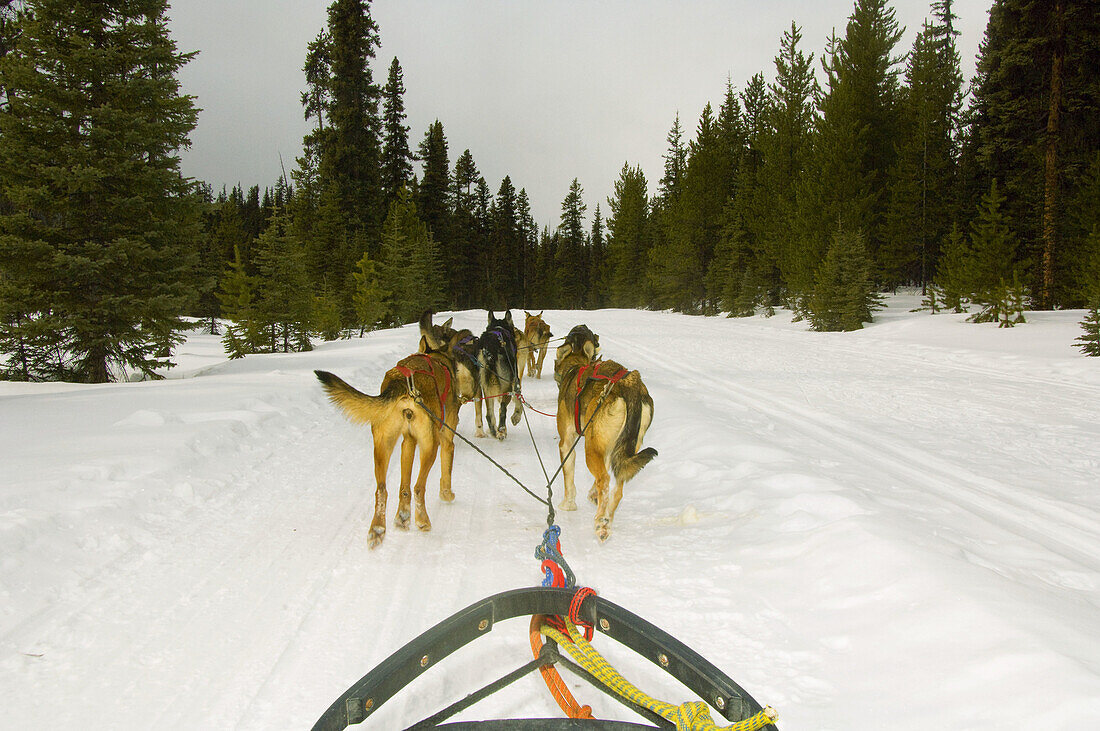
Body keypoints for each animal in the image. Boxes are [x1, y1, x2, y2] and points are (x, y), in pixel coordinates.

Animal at [314, 329, 464, 547]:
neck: (437, 359)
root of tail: (403, 383)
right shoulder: (446, 442)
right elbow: (445, 474)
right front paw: (447, 494)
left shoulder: (408, 442)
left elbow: (403, 487)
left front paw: (402, 516)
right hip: (430, 446)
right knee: (419, 487)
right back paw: (422, 521)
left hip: (383, 446)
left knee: (381, 490)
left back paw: (378, 528)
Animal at [558, 334, 651, 536]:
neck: (575, 368)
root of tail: (629, 383)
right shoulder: (606, 448)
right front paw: (592, 495)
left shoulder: (566, 444)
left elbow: (568, 478)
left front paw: (568, 504)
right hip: (621, 448)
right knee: (617, 487)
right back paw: (606, 520)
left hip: (591, 449)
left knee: (605, 479)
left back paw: (601, 520)